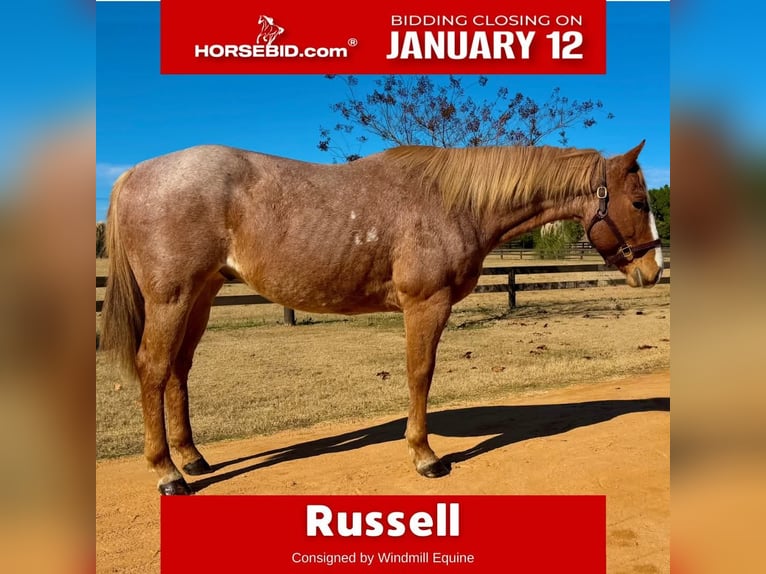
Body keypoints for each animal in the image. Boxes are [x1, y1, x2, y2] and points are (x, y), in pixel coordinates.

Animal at [100, 142, 663, 495]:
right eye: (638, 201)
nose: (653, 270)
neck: (453, 202)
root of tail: (135, 173)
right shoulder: (425, 304)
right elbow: (420, 375)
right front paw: (425, 456)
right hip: (172, 298)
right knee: (153, 368)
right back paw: (168, 474)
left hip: (202, 295)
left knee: (178, 370)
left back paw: (192, 457)